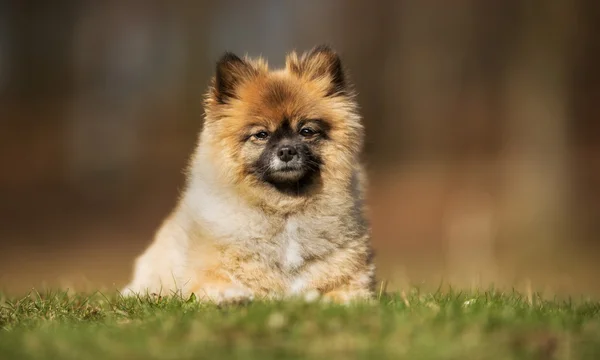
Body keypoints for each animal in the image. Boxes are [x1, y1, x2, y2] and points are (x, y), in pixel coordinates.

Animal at [122, 45, 376, 304]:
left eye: (306, 131)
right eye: (261, 134)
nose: (286, 151)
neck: (285, 211)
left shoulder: (352, 280)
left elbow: (342, 293)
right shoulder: (206, 275)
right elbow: (219, 283)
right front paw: (231, 297)